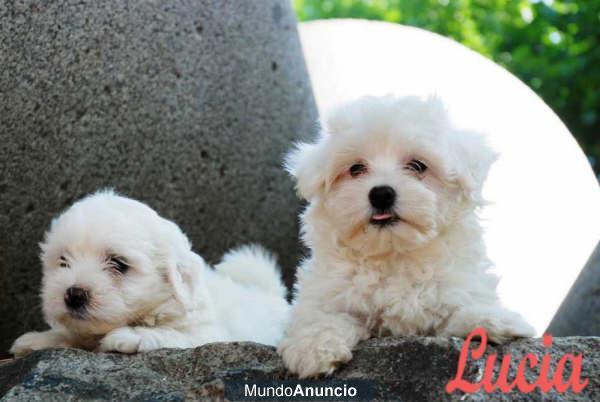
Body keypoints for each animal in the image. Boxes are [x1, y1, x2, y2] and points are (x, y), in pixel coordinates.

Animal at [9, 192, 290, 358]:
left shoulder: (211, 336)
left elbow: (171, 333)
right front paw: (40, 339)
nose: (74, 294)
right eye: (63, 261)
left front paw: (132, 335)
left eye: (119, 264)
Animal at [276, 96, 536, 378]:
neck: (395, 254)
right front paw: (313, 348)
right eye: (356, 169)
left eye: (417, 166)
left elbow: (461, 308)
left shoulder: (453, 287)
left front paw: (492, 320)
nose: (381, 194)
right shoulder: (330, 289)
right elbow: (322, 315)